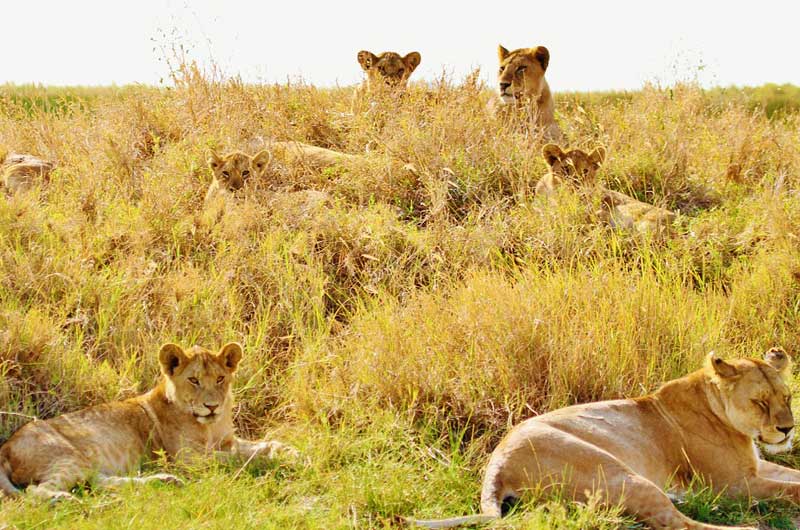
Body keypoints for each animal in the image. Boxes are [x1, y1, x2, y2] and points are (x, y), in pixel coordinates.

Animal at [0, 342, 296, 500]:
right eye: (194, 380)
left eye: (221, 379)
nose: (211, 406)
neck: (210, 426)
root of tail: (5, 446)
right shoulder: (189, 460)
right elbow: (241, 458)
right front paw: (277, 460)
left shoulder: (227, 441)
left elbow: (262, 444)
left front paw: (291, 452)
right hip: (68, 457)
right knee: (35, 491)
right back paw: (63, 500)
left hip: (84, 464)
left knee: (98, 482)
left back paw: (164, 481)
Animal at [410, 346, 796, 528]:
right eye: (761, 402)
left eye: (787, 397)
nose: (788, 429)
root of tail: (496, 464)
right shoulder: (732, 485)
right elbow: (791, 490)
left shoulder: (757, 468)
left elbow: (793, 477)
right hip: (620, 475)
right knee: (677, 524)